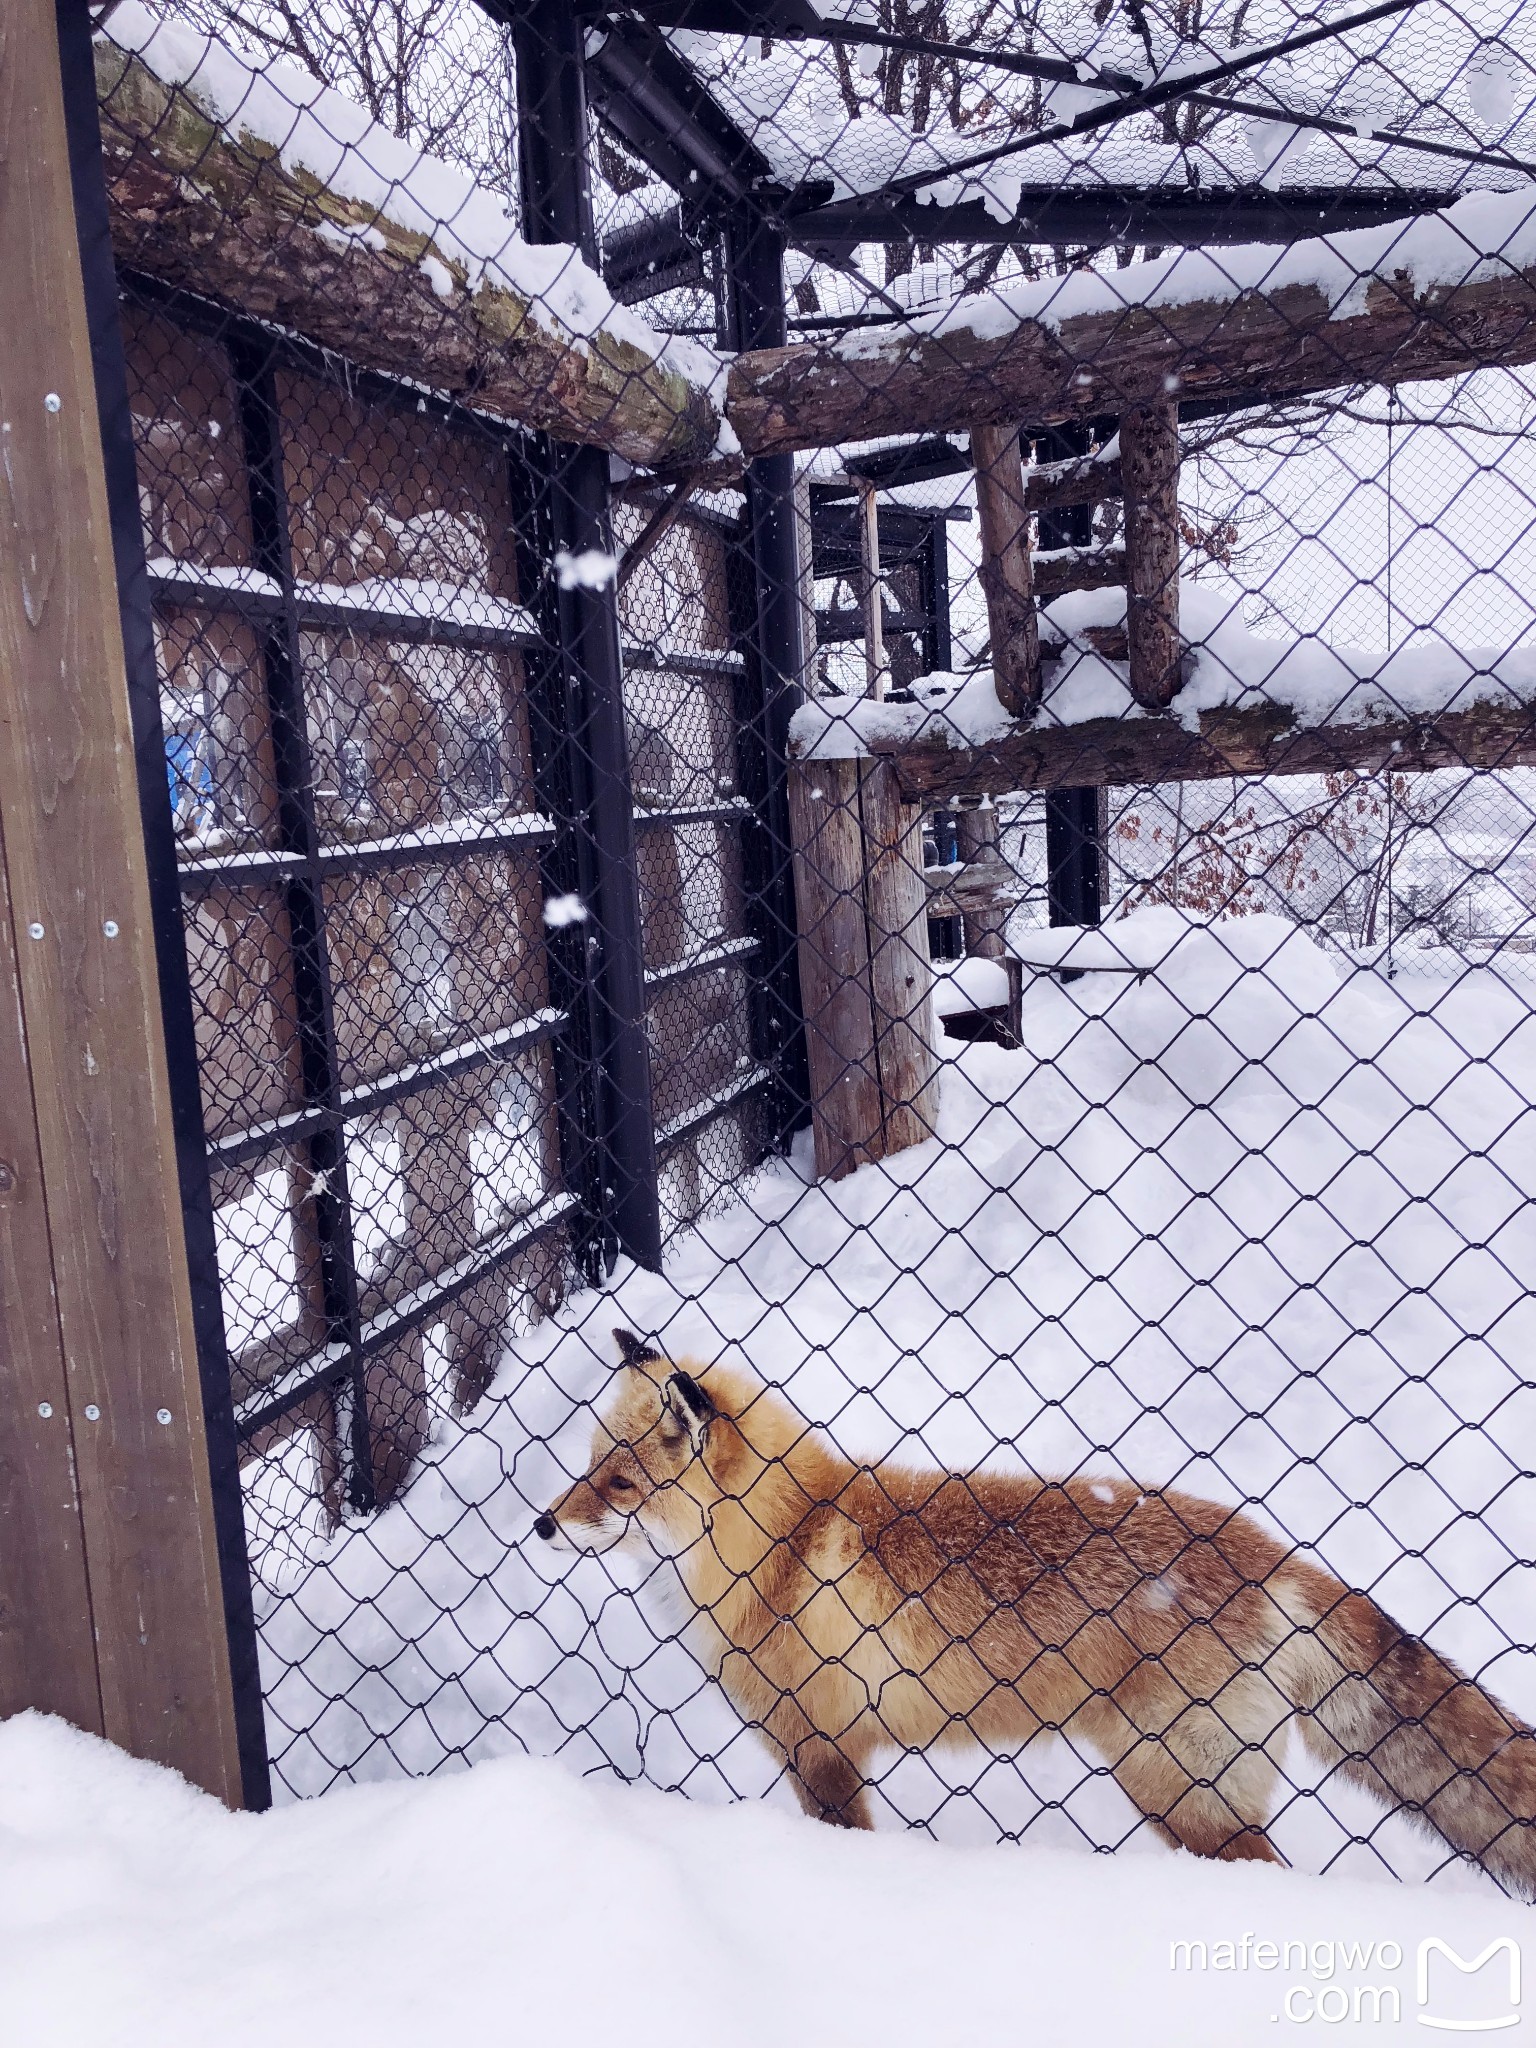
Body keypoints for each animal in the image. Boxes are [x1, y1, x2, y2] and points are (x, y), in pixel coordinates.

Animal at [536, 1327, 1536, 1884]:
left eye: (619, 1484)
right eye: (585, 1468)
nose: (542, 1523)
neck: (781, 1544)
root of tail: (1274, 1556)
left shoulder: (820, 1750)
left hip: (1182, 1792)